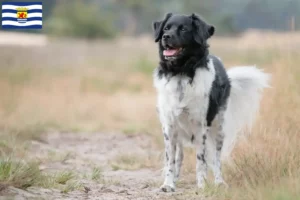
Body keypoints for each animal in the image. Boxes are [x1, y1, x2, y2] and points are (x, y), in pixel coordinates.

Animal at [152, 12, 270, 192]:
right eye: (166, 28)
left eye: (184, 29)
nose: (166, 37)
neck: (181, 73)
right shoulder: (169, 126)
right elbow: (170, 159)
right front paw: (168, 184)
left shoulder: (200, 126)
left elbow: (201, 160)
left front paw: (202, 186)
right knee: (180, 155)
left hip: (218, 128)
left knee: (216, 158)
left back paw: (219, 182)